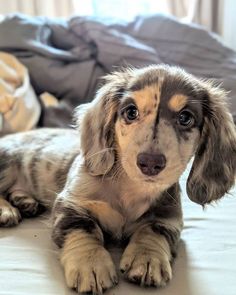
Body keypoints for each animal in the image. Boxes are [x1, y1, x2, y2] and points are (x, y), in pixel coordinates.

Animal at [0, 65, 235, 295]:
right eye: (131, 112)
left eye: (185, 117)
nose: (150, 163)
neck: (130, 189)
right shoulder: (70, 204)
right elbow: (84, 228)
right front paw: (90, 263)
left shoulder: (169, 219)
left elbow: (152, 230)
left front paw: (148, 258)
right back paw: (7, 210)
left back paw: (25, 201)